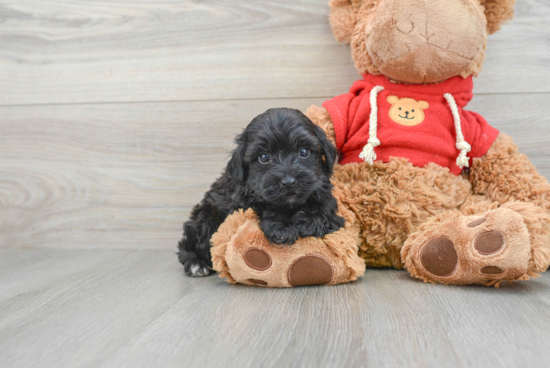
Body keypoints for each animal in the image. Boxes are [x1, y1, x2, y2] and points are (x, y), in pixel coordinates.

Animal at [179, 108, 344, 274]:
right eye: (264, 157)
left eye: (304, 152)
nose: (288, 182)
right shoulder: (243, 199)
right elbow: (264, 206)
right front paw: (282, 227)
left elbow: (325, 205)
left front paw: (311, 221)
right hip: (206, 216)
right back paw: (196, 263)